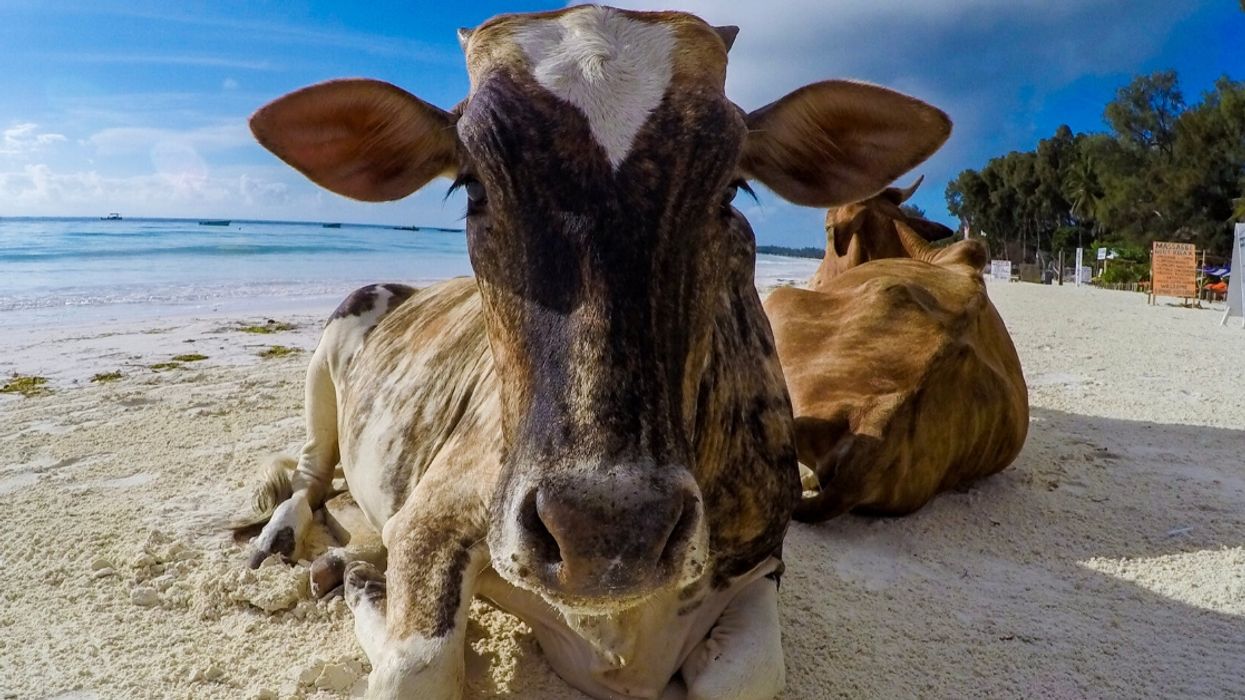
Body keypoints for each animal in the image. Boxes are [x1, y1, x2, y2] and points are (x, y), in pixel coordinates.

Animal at [241, 6, 951, 698]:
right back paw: (292, 539)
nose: (605, 532)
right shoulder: (431, 522)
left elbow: (742, 675)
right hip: (335, 342)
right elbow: (416, 665)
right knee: (311, 473)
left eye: (730, 191)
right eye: (472, 186)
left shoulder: (761, 562)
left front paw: (360, 577)